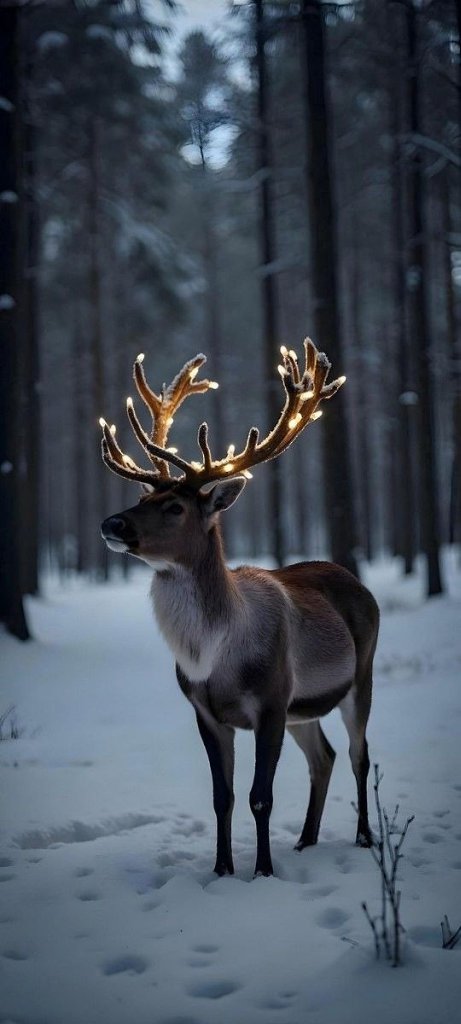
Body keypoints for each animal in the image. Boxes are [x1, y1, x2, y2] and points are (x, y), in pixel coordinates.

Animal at [99, 339, 379, 878]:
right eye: (142, 497)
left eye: (175, 507)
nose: (111, 523)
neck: (213, 656)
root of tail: (355, 580)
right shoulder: (206, 712)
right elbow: (222, 797)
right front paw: (223, 869)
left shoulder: (271, 700)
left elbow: (259, 797)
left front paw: (263, 871)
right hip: (303, 709)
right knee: (324, 757)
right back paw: (306, 841)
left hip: (361, 676)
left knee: (360, 754)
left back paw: (363, 837)